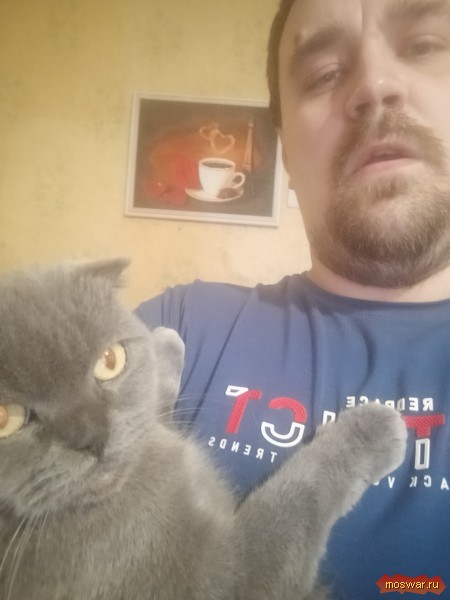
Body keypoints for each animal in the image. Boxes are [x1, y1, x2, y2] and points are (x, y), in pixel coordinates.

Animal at [0, 259, 407, 600]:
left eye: (110, 361)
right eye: (5, 419)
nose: (92, 436)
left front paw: (163, 341)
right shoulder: (224, 579)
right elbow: (295, 495)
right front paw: (373, 427)